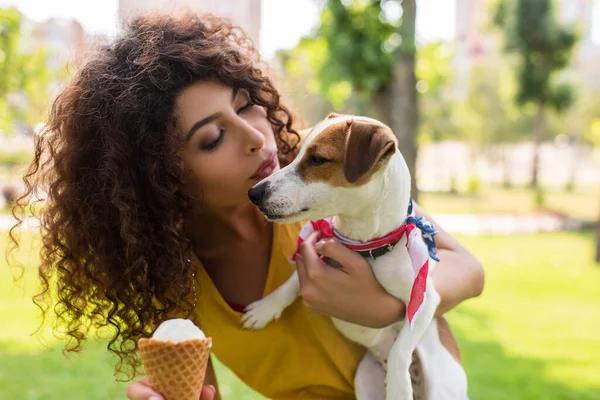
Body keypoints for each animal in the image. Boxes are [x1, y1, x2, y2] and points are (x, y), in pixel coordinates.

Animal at [241, 114, 466, 398]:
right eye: (297, 153)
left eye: (317, 159)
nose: (253, 193)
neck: (365, 248)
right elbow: (291, 283)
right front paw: (265, 308)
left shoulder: (425, 300)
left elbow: (400, 350)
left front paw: (398, 388)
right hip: (364, 379)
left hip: (442, 386)